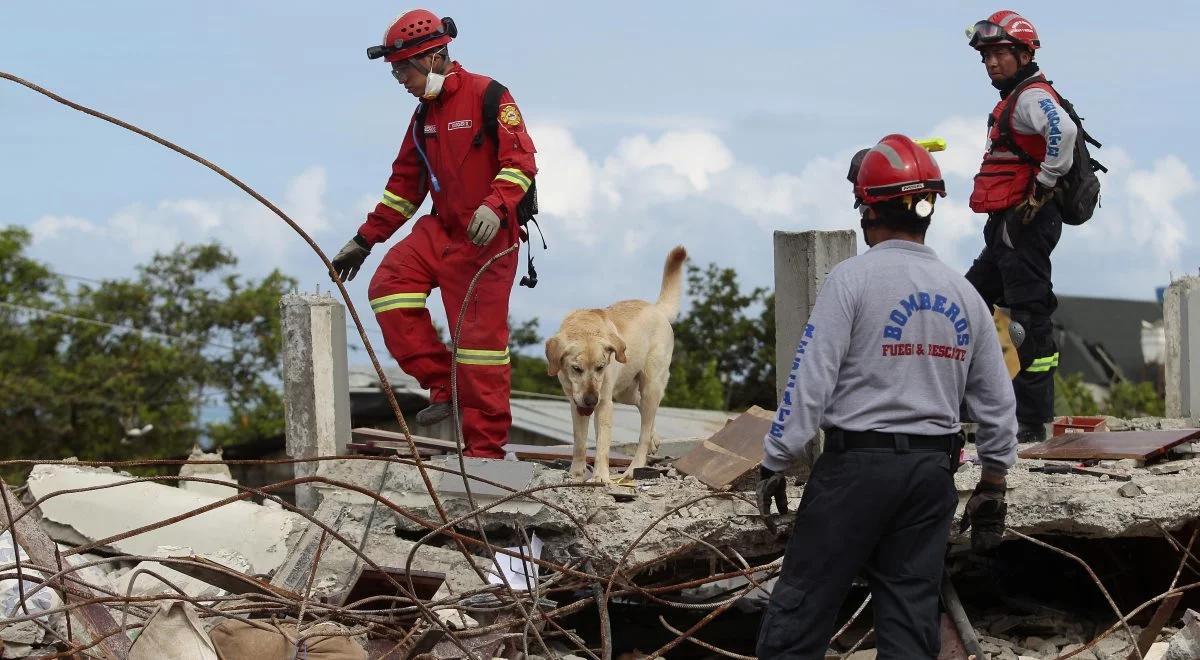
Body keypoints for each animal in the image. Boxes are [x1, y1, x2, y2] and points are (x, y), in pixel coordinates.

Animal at [544, 246, 686, 484]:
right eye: (576, 369)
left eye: (601, 367)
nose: (591, 400)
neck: (585, 327)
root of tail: (656, 309)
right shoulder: (576, 403)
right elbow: (579, 443)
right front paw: (576, 473)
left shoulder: (604, 404)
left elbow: (602, 445)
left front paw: (601, 477)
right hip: (626, 392)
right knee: (644, 410)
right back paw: (655, 438)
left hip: (649, 385)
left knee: (643, 433)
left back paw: (633, 469)